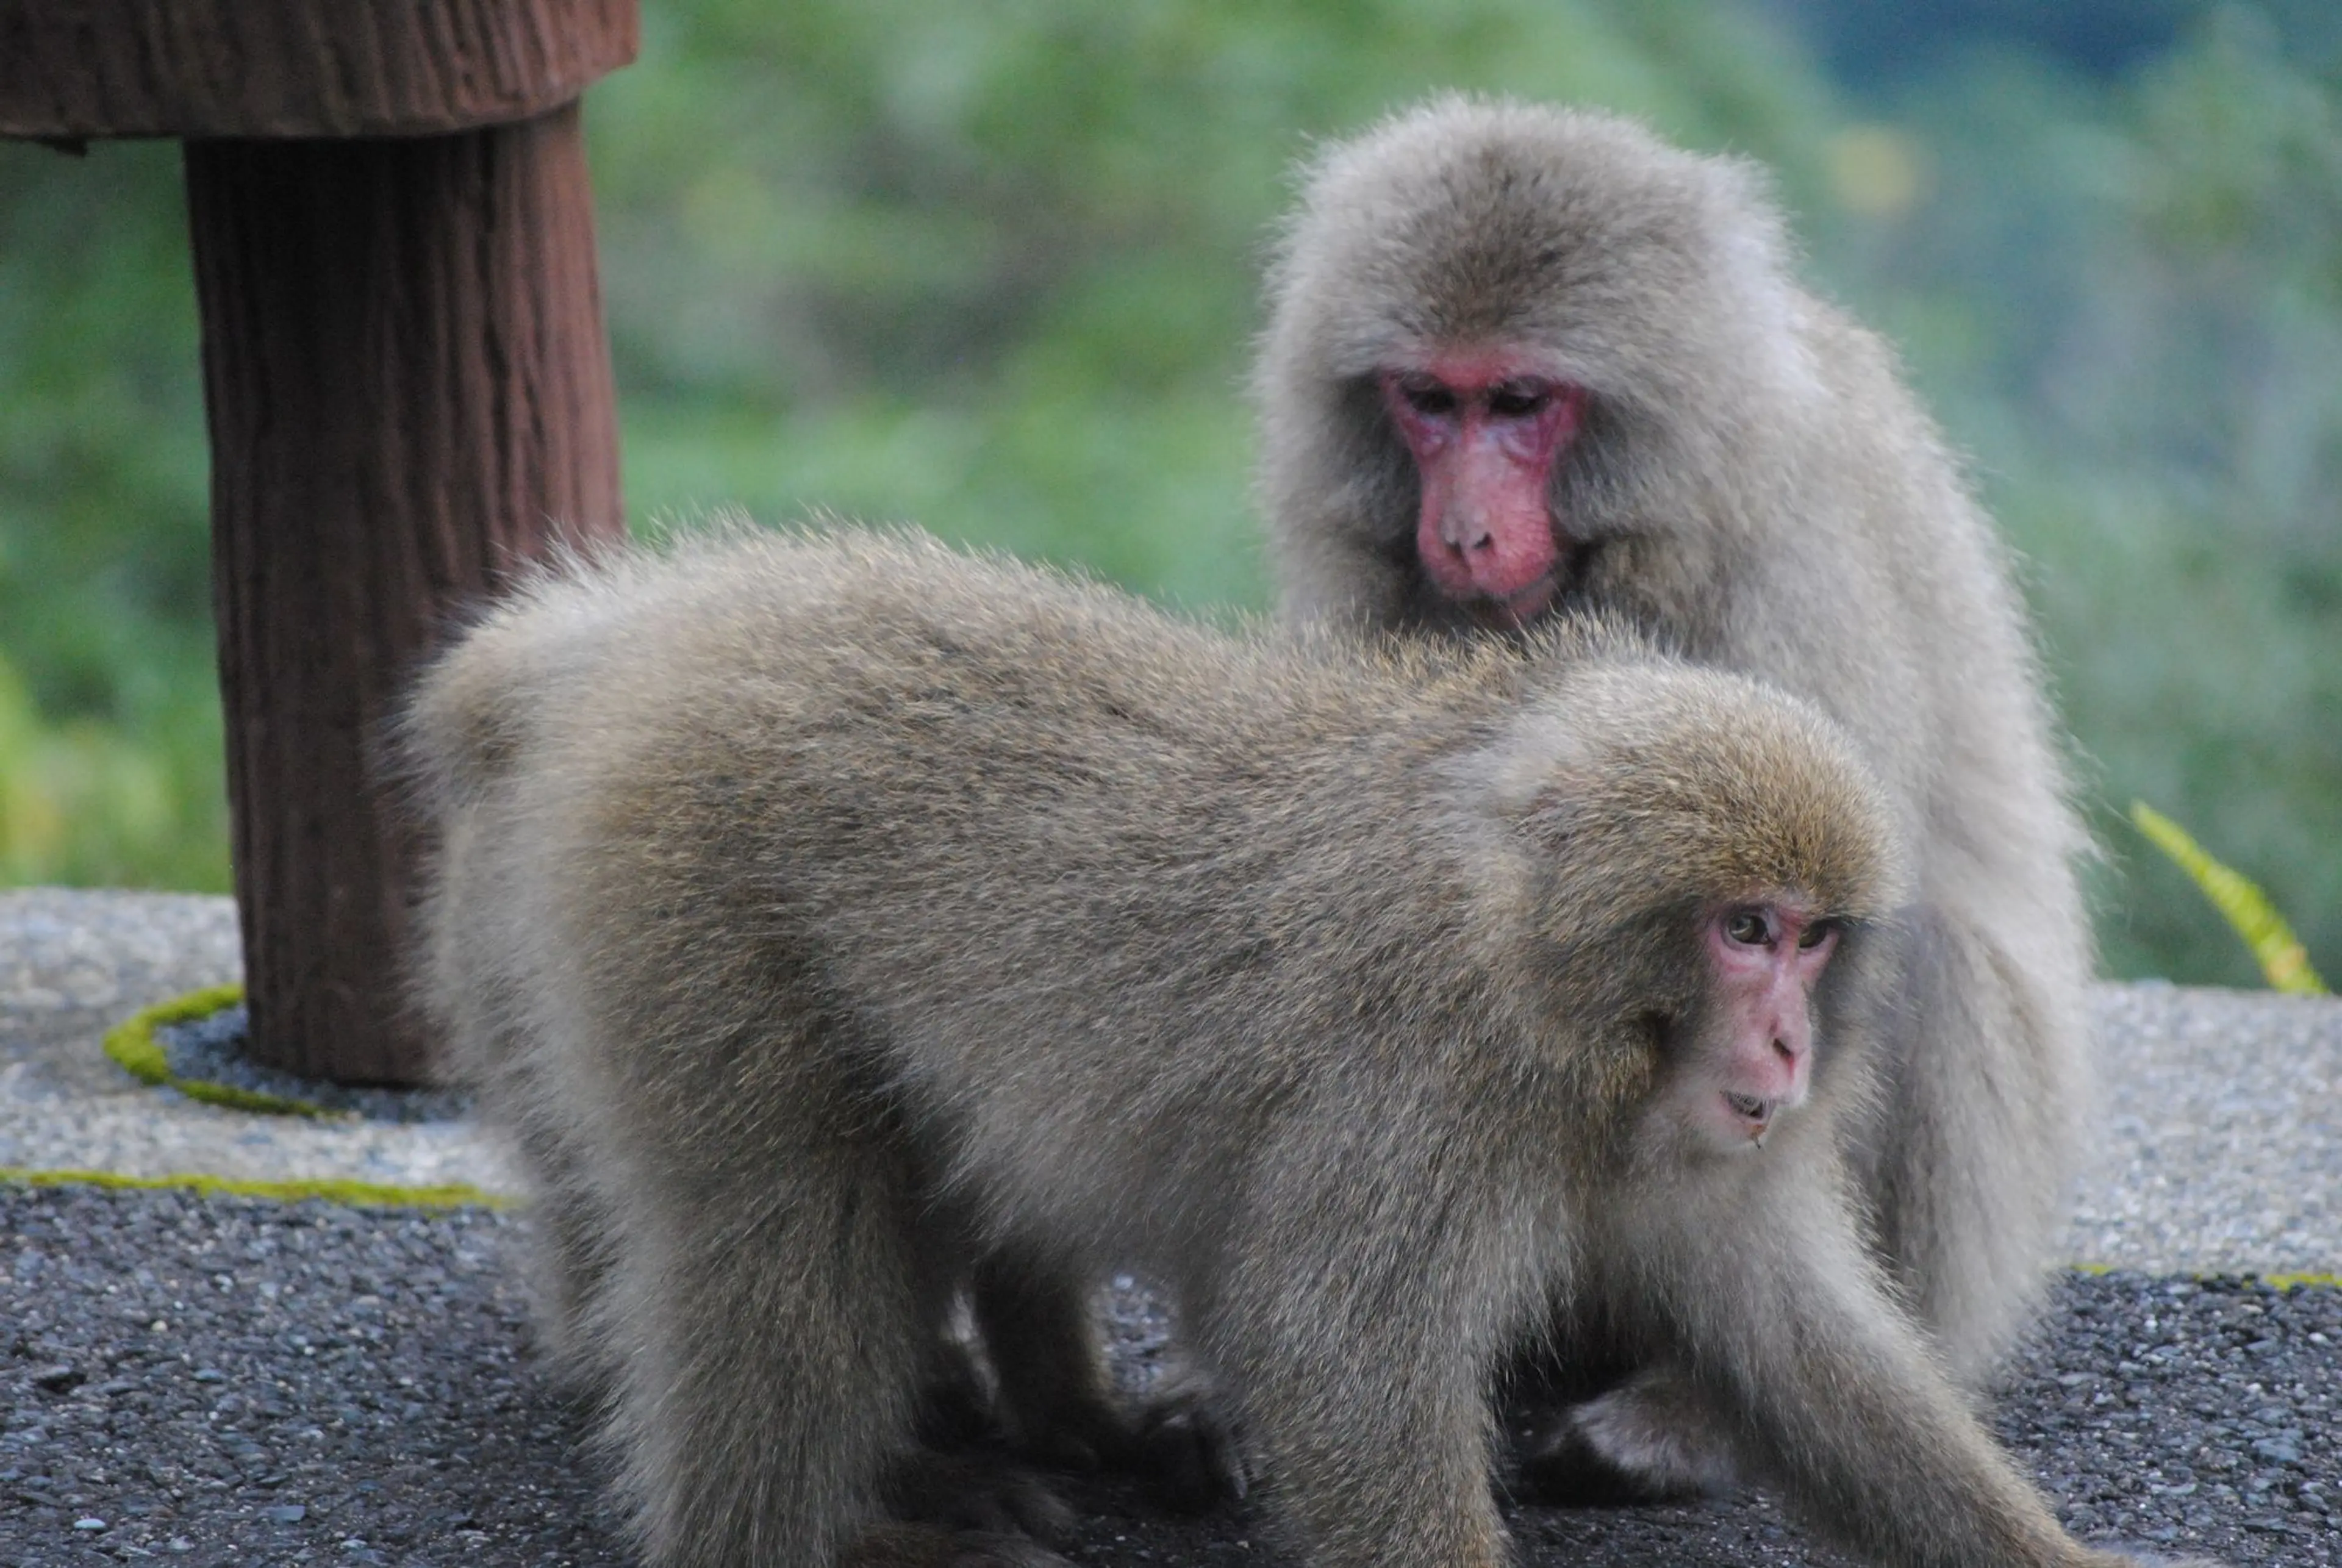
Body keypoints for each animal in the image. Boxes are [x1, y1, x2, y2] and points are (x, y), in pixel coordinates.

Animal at [407, 531, 2192, 1568]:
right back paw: (804, 1534)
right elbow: (1344, 1361)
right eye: (1740, 927)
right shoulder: (1428, 1093)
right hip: (677, 892)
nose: (1786, 1037)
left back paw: (1063, 1415)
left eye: (1813, 934)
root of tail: (650, 637)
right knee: (780, 1224)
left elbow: (1801, 1342)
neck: (1551, 1000)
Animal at [1255, 98, 2098, 1497]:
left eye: (1521, 402)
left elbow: (1826, 916)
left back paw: (1689, 1400)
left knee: (1921, 971)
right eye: (1428, 401)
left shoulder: (1790, 581)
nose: (1465, 531)